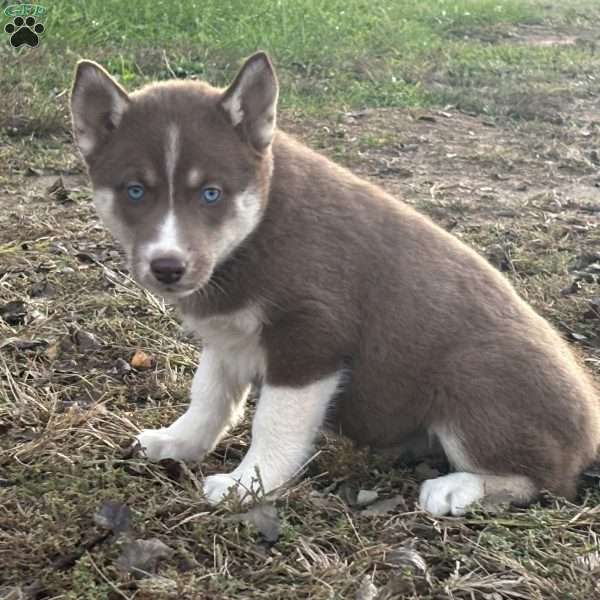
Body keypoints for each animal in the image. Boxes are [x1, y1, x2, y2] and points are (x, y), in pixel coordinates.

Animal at [71, 52, 600, 516]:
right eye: (135, 191)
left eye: (211, 194)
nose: (168, 267)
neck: (256, 231)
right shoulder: (228, 339)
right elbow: (209, 398)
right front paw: (177, 442)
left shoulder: (311, 342)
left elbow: (274, 424)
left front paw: (249, 484)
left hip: (472, 381)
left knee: (543, 480)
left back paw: (457, 489)